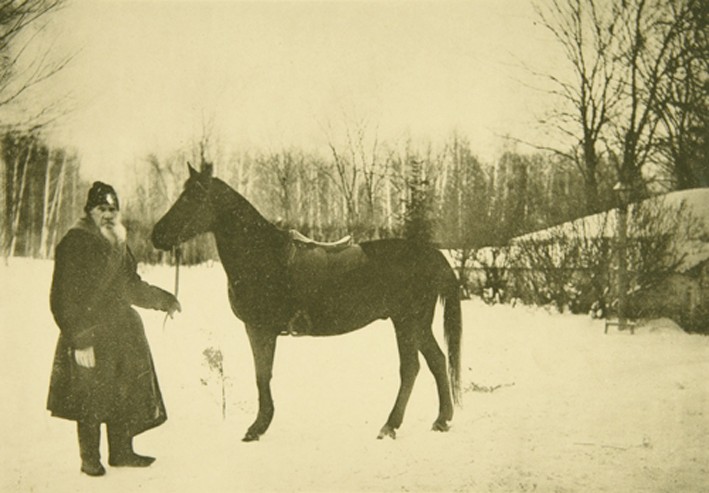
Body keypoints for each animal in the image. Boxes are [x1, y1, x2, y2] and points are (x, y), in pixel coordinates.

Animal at [152, 163, 462, 440]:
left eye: (193, 197)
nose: (157, 235)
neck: (263, 257)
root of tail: (431, 253)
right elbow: (263, 375)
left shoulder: (259, 329)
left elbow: (262, 375)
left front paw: (258, 427)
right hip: (417, 324)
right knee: (437, 361)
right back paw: (442, 420)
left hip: (407, 322)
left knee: (411, 369)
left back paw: (390, 426)